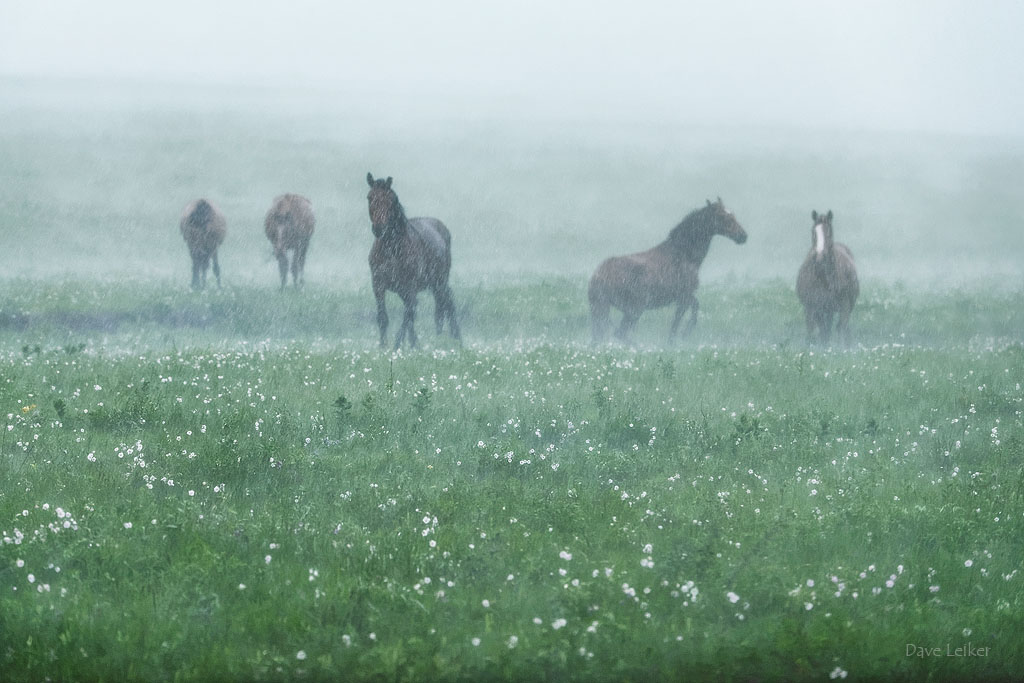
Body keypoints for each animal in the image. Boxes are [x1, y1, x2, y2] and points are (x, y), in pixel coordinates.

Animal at [364, 174, 460, 350]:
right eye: (370, 197)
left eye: (390, 200)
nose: (379, 229)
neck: (391, 249)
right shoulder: (378, 285)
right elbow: (383, 317)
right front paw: (383, 346)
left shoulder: (410, 287)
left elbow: (407, 315)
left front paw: (397, 346)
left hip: (439, 282)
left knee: (445, 304)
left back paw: (454, 339)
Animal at [589, 198, 749, 344]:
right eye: (723, 217)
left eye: (733, 215)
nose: (743, 236)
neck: (685, 255)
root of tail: (598, 276)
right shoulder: (684, 296)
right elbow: (681, 318)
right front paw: (682, 335)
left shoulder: (684, 296)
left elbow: (691, 309)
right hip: (634, 309)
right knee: (619, 333)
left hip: (603, 309)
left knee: (601, 337)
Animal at [794, 208, 860, 344]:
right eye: (813, 231)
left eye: (829, 231)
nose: (819, 256)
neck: (823, 277)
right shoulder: (815, 307)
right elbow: (819, 331)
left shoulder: (844, 307)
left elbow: (840, 329)